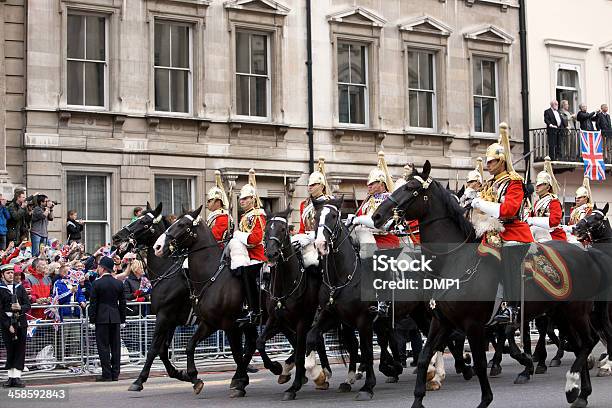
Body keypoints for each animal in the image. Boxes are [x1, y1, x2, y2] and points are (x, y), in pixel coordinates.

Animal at [370, 161, 608, 406]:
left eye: (410, 188)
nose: (376, 217)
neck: (454, 260)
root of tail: (587, 255)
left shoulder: (473, 324)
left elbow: (480, 362)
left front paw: (486, 398)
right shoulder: (441, 322)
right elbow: (424, 357)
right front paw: (418, 398)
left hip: (576, 311)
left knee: (588, 341)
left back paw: (571, 383)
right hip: (561, 312)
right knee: (580, 344)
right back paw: (581, 393)